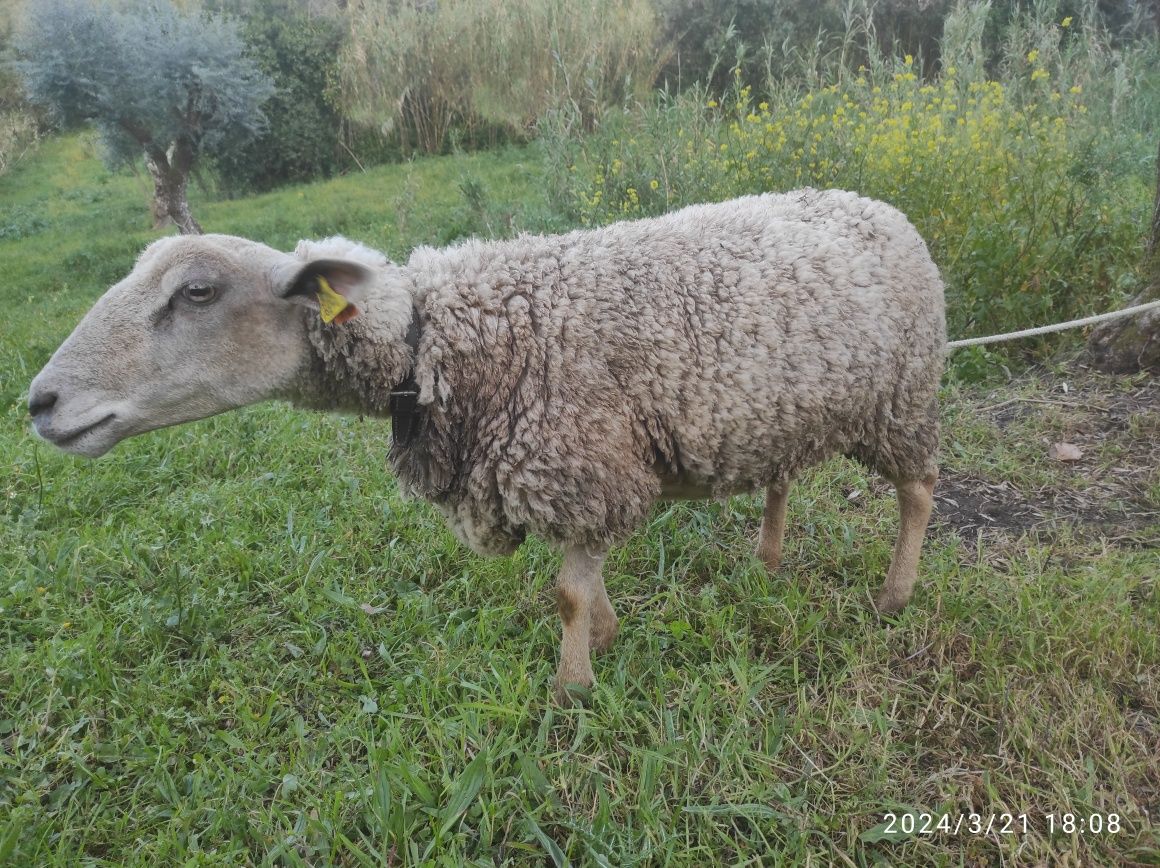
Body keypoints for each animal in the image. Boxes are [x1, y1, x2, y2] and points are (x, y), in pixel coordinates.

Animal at [31, 191, 946, 705]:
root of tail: (881, 206)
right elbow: (585, 584)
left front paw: (573, 688)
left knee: (919, 495)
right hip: (786, 406)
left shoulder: (580, 461)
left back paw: (896, 595)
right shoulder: (574, 470)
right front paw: (606, 637)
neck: (433, 343)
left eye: (197, 292)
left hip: (902, 400)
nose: (39, 402)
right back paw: (769, 557)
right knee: (783, 477)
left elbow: (568, 592)